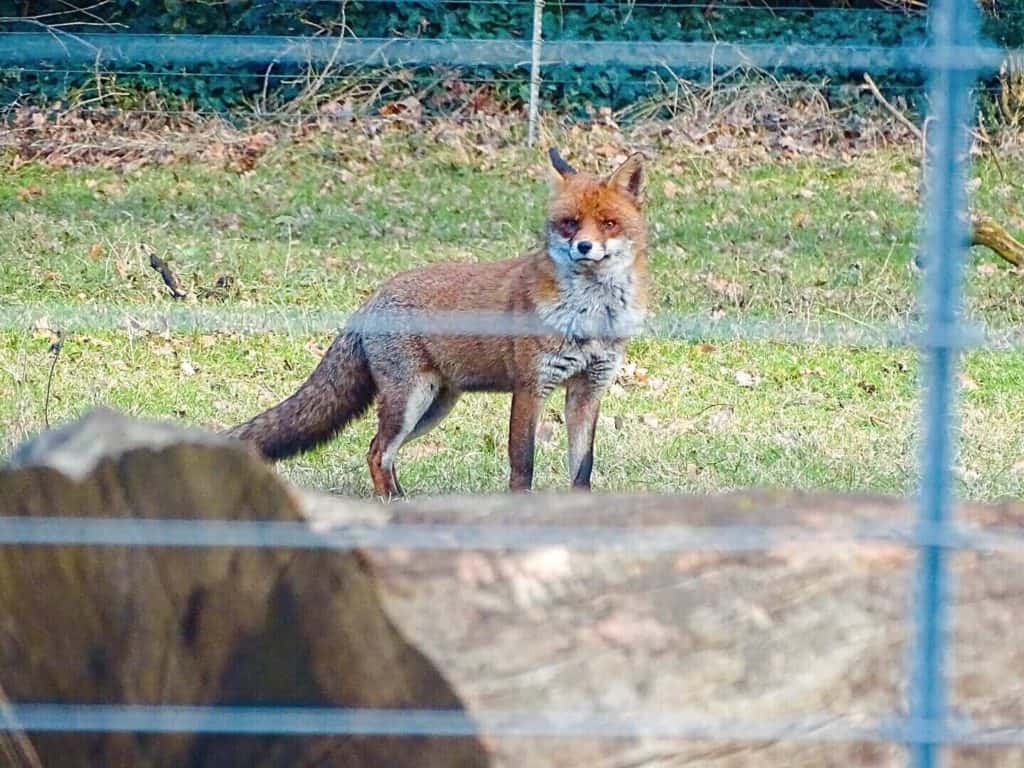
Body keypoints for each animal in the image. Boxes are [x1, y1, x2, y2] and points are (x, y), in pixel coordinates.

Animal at [230, 148, 647, 499]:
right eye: (569, 223)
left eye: (608, 223)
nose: (584, 247)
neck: (591, 314)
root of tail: (373, 296)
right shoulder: (532, 386)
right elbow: (522, 464)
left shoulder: (588, 389)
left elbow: (582, 468)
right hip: (411, 400)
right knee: (377, 451)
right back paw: (394, 504)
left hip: (434, 406)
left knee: (380, 451)